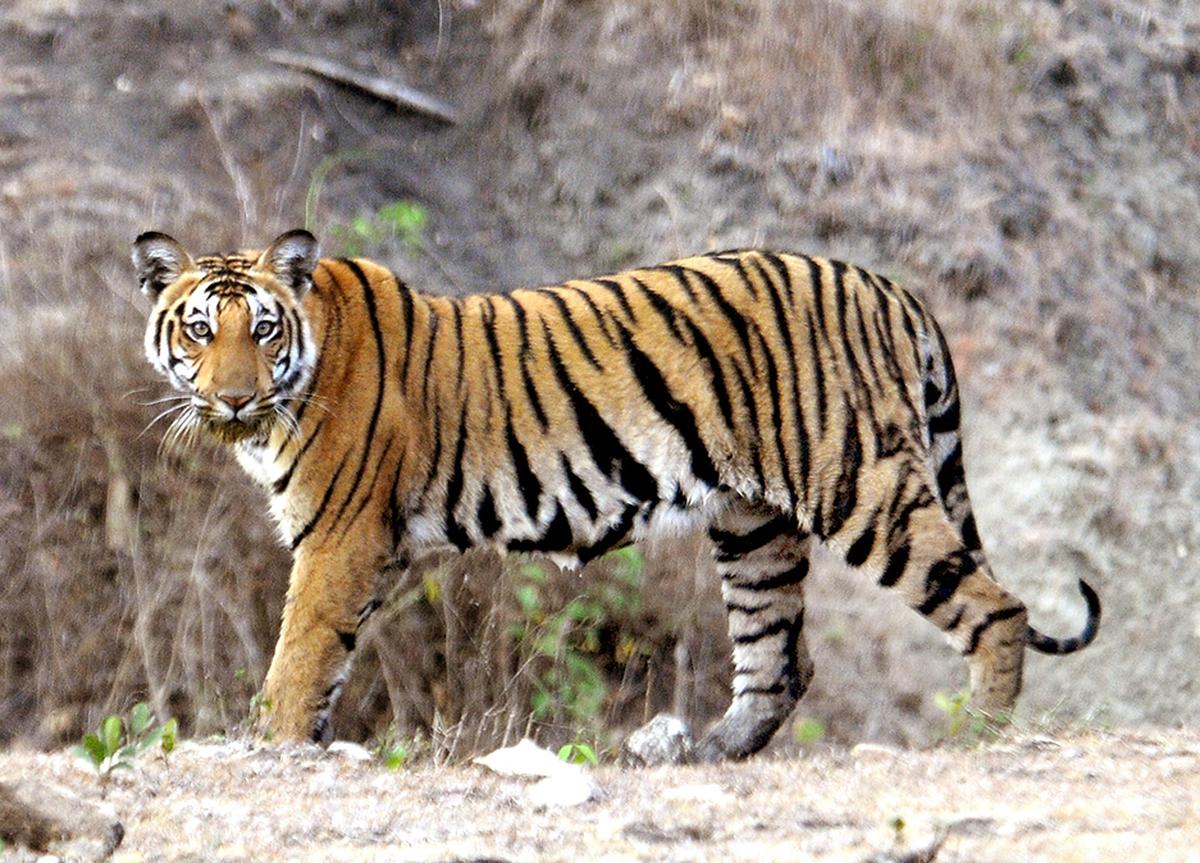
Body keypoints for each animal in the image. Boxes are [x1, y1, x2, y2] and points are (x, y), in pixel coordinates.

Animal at [132, 228, 1100, 760]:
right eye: (198, 328)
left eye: (261, 329)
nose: (233, 397)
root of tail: (890, 286)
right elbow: (325, 661)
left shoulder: (340, 536)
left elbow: (299, 655)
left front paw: (273, 745)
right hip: (755, 525)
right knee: (779, 660)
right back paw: (701, 752)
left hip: (861, 483)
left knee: (996, 605)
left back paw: (976, 737)